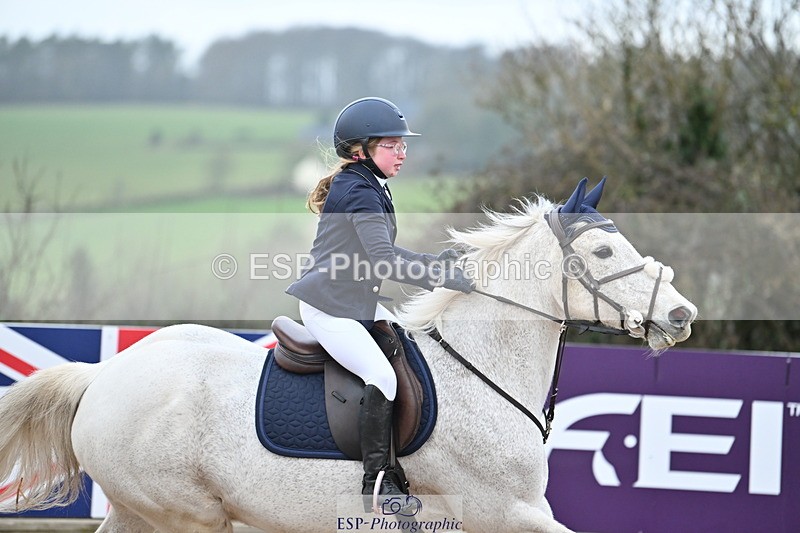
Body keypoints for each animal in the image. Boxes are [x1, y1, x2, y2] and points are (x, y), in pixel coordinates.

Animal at [0, 178, 696, 532]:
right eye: (603, 254)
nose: (681, 316)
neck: (481, 367)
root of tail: (103, 376)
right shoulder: (507, 512)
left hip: (146, 513)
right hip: (185, 516)